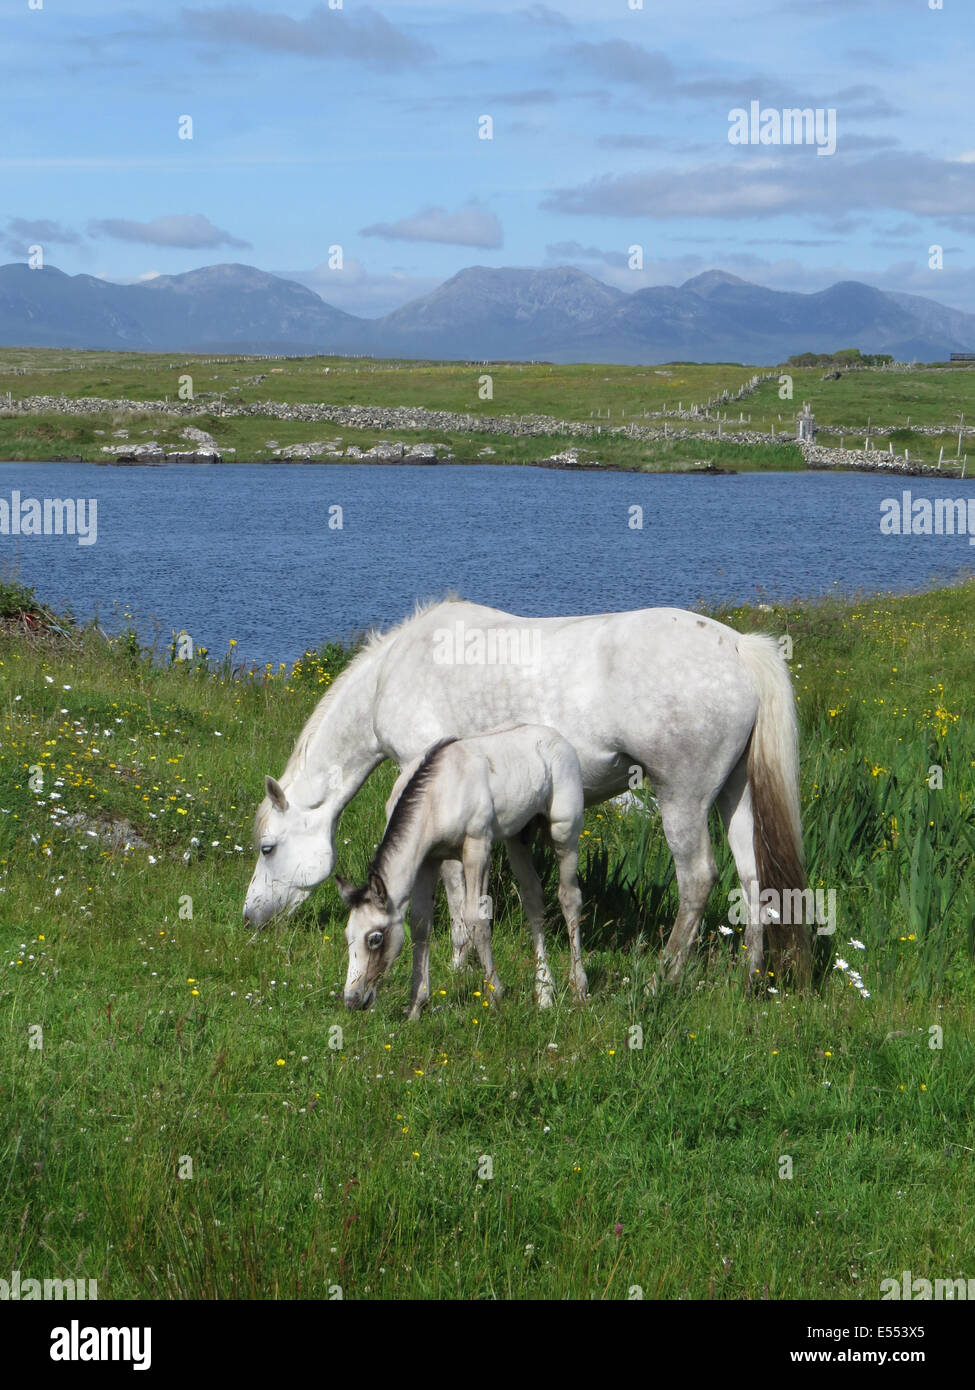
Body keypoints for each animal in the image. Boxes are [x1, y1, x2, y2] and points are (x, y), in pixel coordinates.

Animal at [247, 600, 812, 989]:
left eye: (267, 848)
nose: (252, 917)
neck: (394, 673)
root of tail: (740, 647)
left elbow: (456, 892)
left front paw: (458, 965)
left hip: (682, 798)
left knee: (697, 880)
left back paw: (661, 980)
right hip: (734, 796)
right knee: (752, 878)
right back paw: (748, 979)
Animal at [335, 728, 586, 1023]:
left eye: (375, 938)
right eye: (347, 934)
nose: (352, 1000)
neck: (436, 795)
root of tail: (558, 738)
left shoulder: (476, 846)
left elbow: (476, 918)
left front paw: (495, 995)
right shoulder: (428, 860)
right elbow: (421, 924)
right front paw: (416, 1007)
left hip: (565, 830)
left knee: (569, 898)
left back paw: (578, 988)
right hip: (518, 837)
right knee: (533, 899)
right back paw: (544, 993)